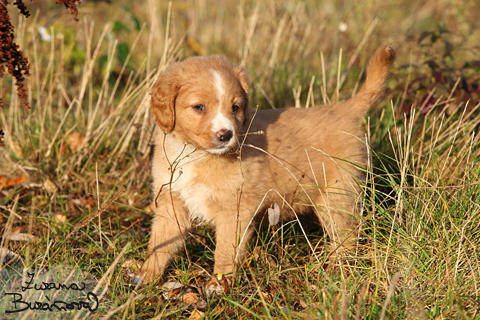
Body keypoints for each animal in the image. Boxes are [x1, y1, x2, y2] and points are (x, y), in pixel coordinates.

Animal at [137, 46, 396, 286]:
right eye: (199, 107)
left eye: (235, 108)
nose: (226, 135)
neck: (195, 154)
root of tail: (344, 109)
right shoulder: (171, 202)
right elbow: (160, 243)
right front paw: (145, 277)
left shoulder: (235, 211)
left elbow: (225, 251)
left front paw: (219, 285)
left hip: (338, 194)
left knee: (347, 236)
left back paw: (338, 270)